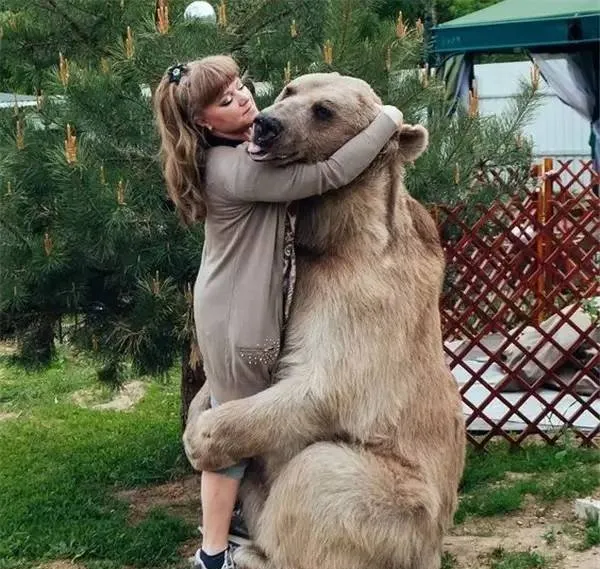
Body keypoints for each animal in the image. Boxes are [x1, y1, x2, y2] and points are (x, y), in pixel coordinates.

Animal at [185, 73, 466, 568]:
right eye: (289, 89)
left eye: (324, 110)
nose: (265, 125)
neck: (339, 237)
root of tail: (430, 551)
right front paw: (195, 416)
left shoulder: (367, 299)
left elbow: (323, 386)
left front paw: (202, 439)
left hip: (400, 509)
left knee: (318, 474)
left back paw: (252, 547)